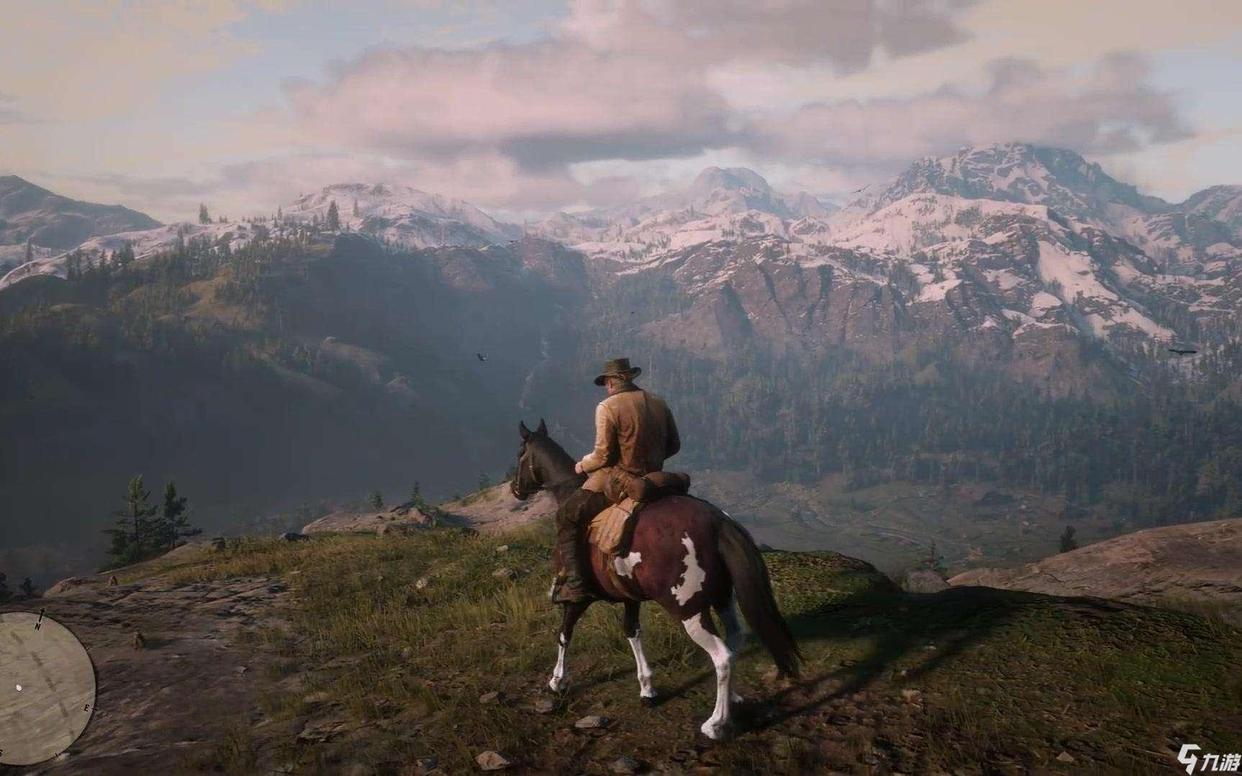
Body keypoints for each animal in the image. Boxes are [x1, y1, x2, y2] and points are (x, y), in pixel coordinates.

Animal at [511, 419, 801, 740]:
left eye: (520, 453)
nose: (515, 488)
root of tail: (718, 522)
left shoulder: (578, 598)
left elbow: (564, 633)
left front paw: (558, 681)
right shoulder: (630, 596)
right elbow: (632, 631)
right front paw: (647, 688)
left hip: (689, 610)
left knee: (722, 657)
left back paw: (715, 724)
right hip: (723, 598)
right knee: (735, 639)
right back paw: (732, 700)